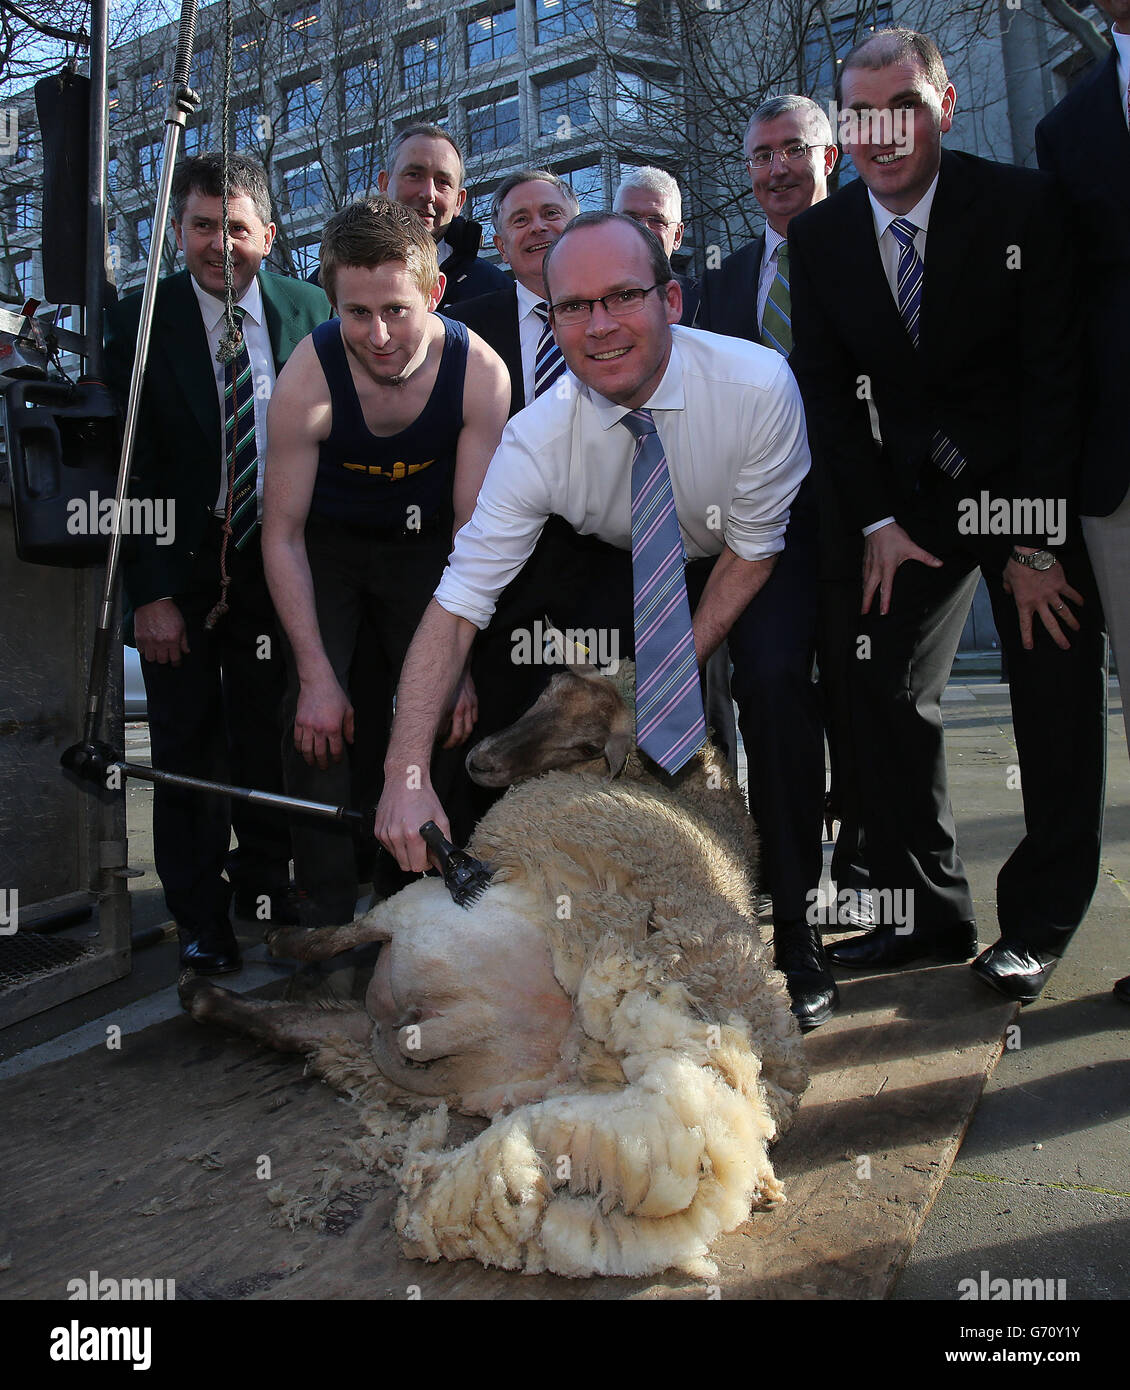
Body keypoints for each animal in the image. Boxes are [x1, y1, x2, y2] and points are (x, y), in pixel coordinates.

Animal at [180, 661, 806, 1278]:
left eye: (587, 743)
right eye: (547, 691)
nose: (480, 759)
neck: (685, 795)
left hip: (422, 914)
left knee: (345, 948)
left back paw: (265, 954)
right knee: (307, 1026)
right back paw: (205, 997)